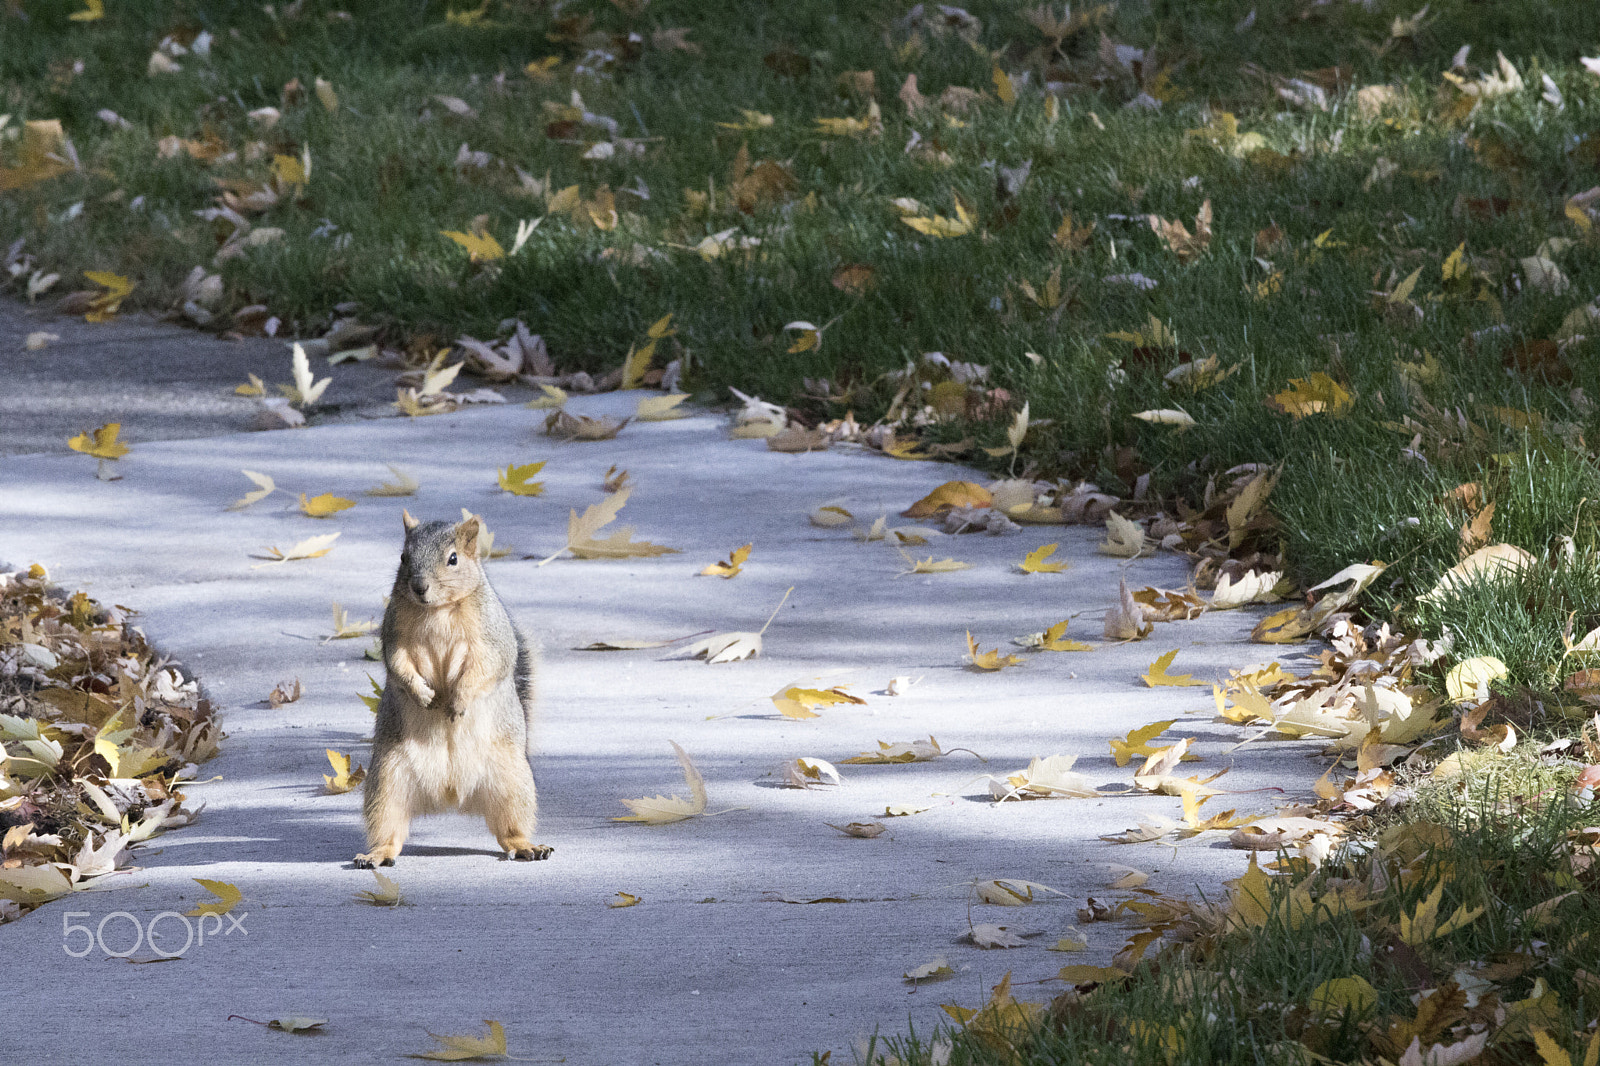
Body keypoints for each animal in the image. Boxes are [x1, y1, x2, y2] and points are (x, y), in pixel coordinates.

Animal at [354, 511, 552, 867]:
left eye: (453, 559)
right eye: (403, 557)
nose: (419, 587)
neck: (438, 610)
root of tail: (449, 795)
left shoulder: (490, 638)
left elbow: (487, 666)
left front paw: (458, 701)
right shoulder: (394, 634)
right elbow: (398, 663)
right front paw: (421, 694)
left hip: (513, 781)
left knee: (510, 828)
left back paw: (527, 846)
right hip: (387, 781)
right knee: (389, 829)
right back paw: (376, 854)